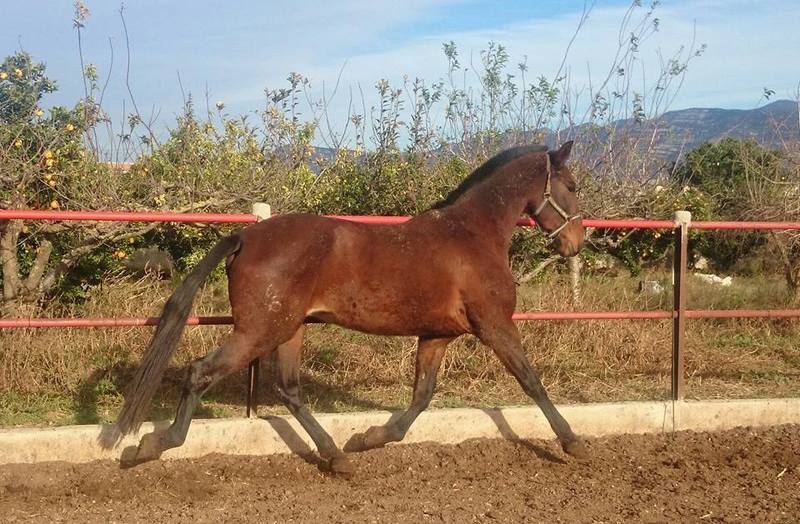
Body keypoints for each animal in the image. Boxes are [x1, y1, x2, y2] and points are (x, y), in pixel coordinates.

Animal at [111, 141, 586, 473]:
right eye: (572, 186)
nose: (575, 243)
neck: (472, 235)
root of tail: (246, 236)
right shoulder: (495, 325)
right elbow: (532, 381)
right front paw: (572, 442)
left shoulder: (437, 334)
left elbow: (421, 396)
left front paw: (369, 437)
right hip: (259, 331)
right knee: (200, 373)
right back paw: (149, 446)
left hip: (290, 329)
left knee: (289, 390)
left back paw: (337, 456)